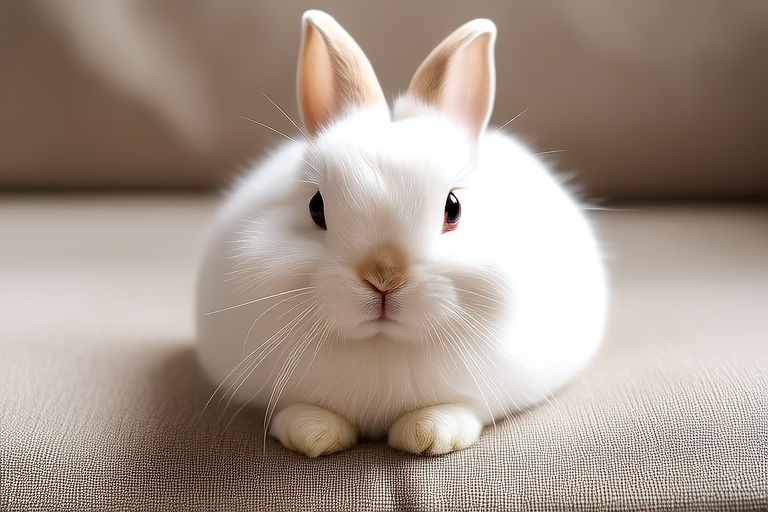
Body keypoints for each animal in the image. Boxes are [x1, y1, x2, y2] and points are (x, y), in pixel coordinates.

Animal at [196, 10, 607, 458]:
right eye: (315, 206)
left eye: (453, 208)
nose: (384, 278)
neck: (383, 344)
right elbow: (300, 408)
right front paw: (312, 435)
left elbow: (462, 408)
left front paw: (429, 435)